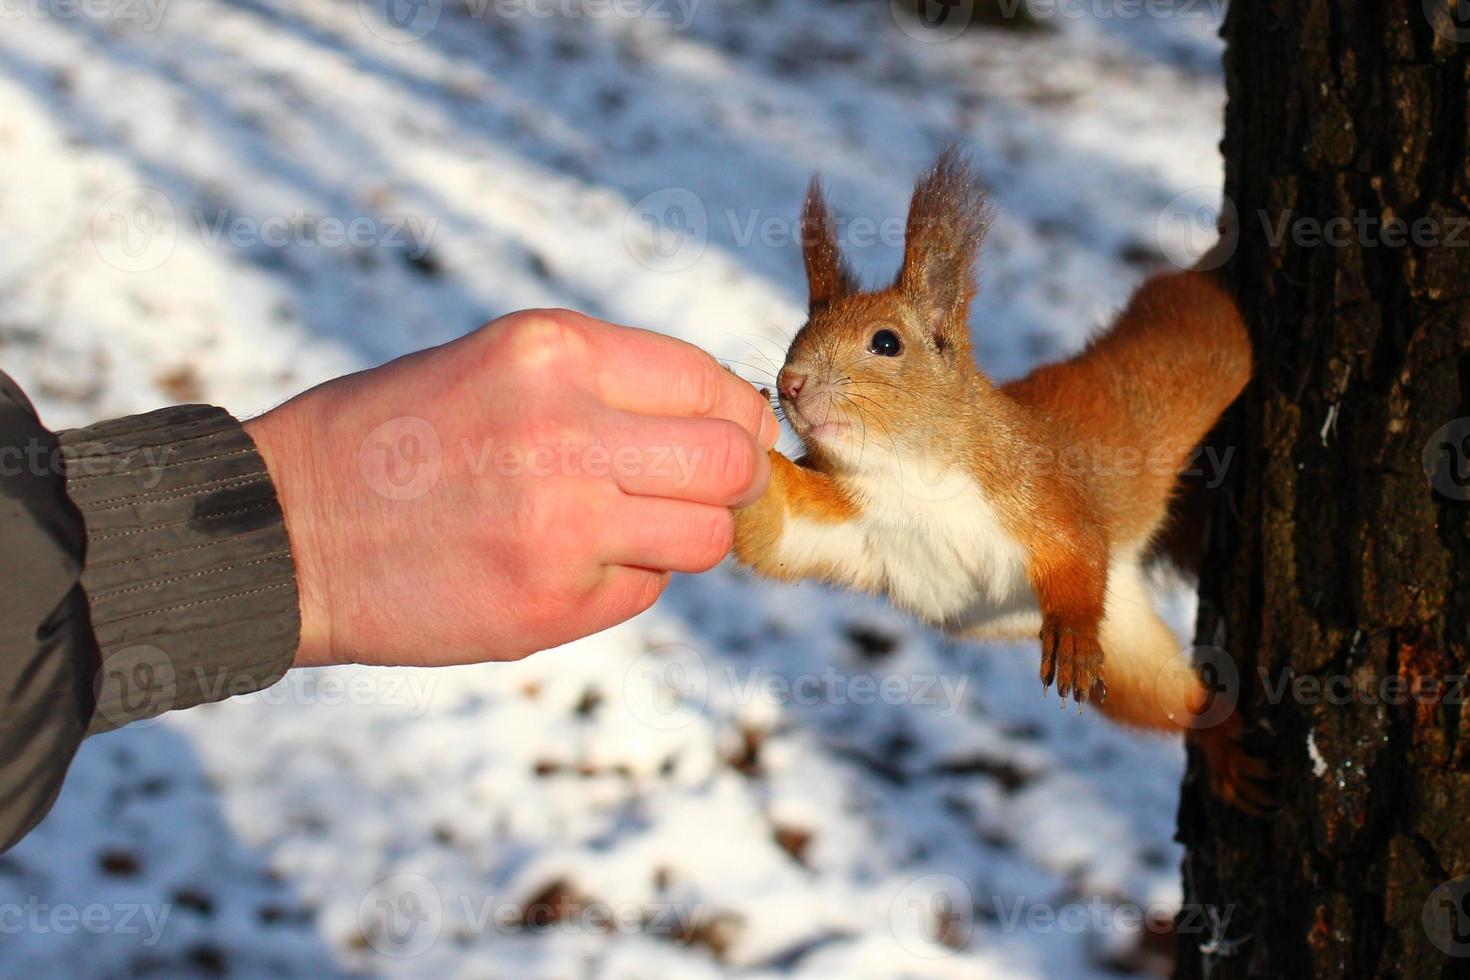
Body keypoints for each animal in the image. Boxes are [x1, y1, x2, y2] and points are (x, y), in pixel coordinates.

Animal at [740, 151, 1270, 811]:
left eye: (886, 343)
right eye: (796, 337)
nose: (789, 384)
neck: (910, 476)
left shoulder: (1036, 487)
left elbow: (1077, 548)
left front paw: (1071, 631)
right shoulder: (853, 520)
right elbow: (776, 535)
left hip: (1197, 354)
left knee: (1203, 307)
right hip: (1130, 664)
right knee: (1174, 702)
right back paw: (1221, 742)